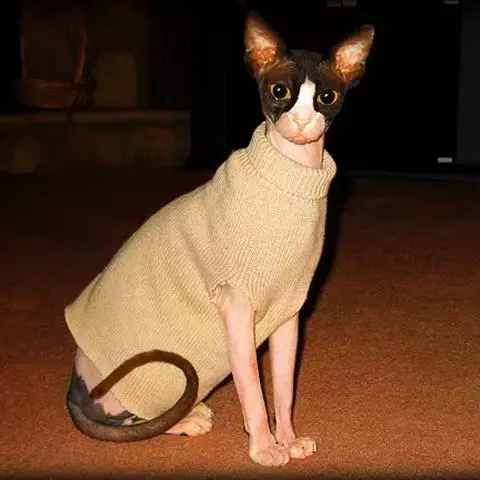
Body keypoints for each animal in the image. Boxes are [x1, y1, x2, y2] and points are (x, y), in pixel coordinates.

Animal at [65, 11, 374, 467]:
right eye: (279, 90)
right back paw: (187, 419)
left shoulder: (288, 311)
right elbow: (253, 389)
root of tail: (75, 382)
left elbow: (283, 387)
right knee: (128, 418)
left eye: (327, 96)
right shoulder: (237, 306)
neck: (291, 177)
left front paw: (287, 438)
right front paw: (264, 447)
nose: (302, 122)